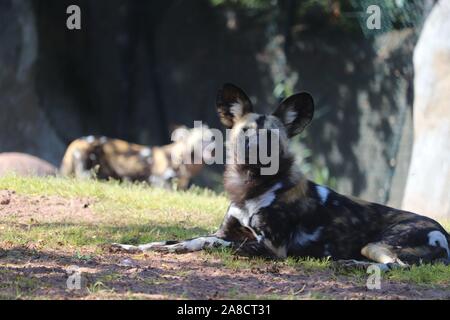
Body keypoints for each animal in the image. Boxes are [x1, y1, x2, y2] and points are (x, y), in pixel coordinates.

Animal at [60, 125, 214, 190]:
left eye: (212, 137)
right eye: (200, 140)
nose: (212, 147)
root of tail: (77, 141)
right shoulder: (161, 183)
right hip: (86, 174)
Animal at [113, 83, 450, 270]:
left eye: (271, 137)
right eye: (245, 132)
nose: (253, 151)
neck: (250, 189)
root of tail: (443, 232)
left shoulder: (271, 248)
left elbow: (205, 242)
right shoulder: (226, 231)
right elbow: (174, 239)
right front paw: (131, 247)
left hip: (378, 246)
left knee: (399, 266)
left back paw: (352, 265)